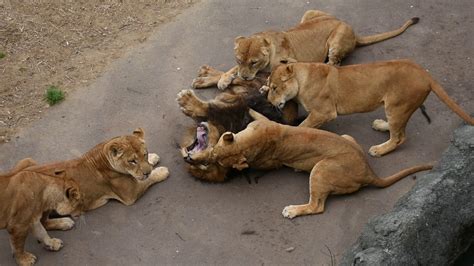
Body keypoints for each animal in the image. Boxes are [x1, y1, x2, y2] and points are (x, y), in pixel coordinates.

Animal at [184, 111, 434, 219]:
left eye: (215, 156)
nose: (190, 158)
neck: (246, 145)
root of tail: (368, 172)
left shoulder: (264, 127)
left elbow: (256, 114)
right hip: (348, 138)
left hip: (321, 169)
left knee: (317, 207)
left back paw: (292, 210)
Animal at [191, 9, 416, 90]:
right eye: (239, 59)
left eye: (254, 62)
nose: (246, 75)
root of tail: (353, 31)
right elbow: (232, 70)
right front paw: (222, 78)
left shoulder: (290, 63)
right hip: (309, 13)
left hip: (336, 40)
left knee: (334, 63)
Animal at [262, 59, 474, 156]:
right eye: (269, 85)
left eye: (275, 88)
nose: (270, 102)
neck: (302, 77)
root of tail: (425, 74)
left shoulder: (325, 112)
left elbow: (304, 126)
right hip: (397, 108)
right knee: (398, 129)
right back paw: (381, 125)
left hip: (397, 105)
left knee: (400, 137)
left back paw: (379, 150)